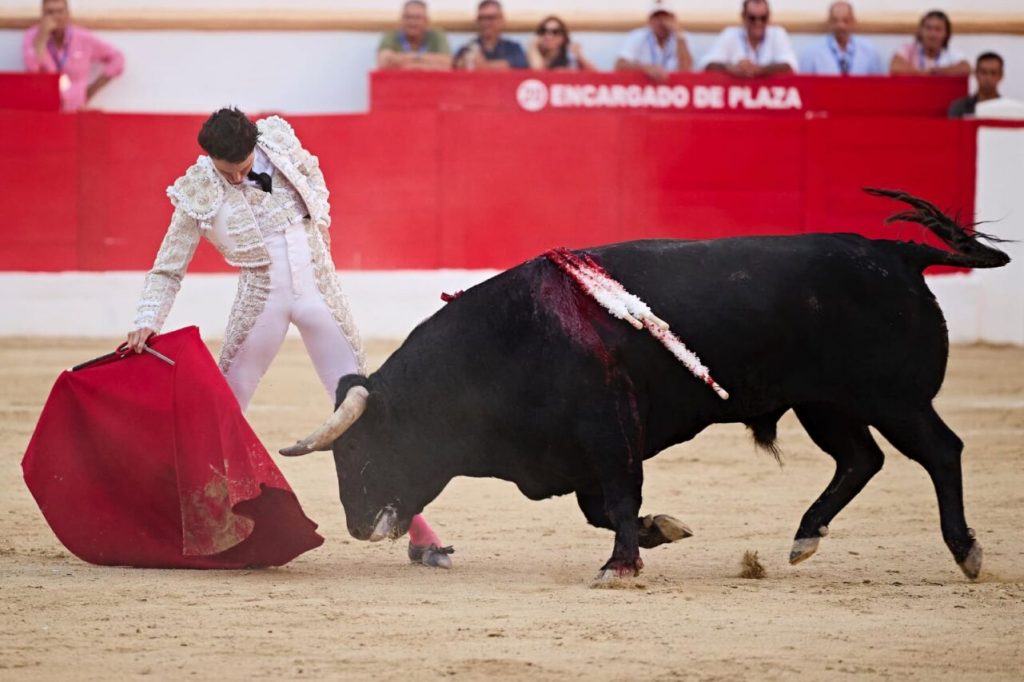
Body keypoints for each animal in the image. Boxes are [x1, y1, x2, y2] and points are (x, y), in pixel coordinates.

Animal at [280, 188, 1007, 577]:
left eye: (363, 448)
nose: (355, 527)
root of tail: (895, 255)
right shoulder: (578, 457)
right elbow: (603, 508)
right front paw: (664, 531)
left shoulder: (608, 431)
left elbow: (619, 500)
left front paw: (621, 565)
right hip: (826, 404)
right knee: (860, 459)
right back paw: (804, 538)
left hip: (894, 398)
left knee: (940, 451)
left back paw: (966, 551)